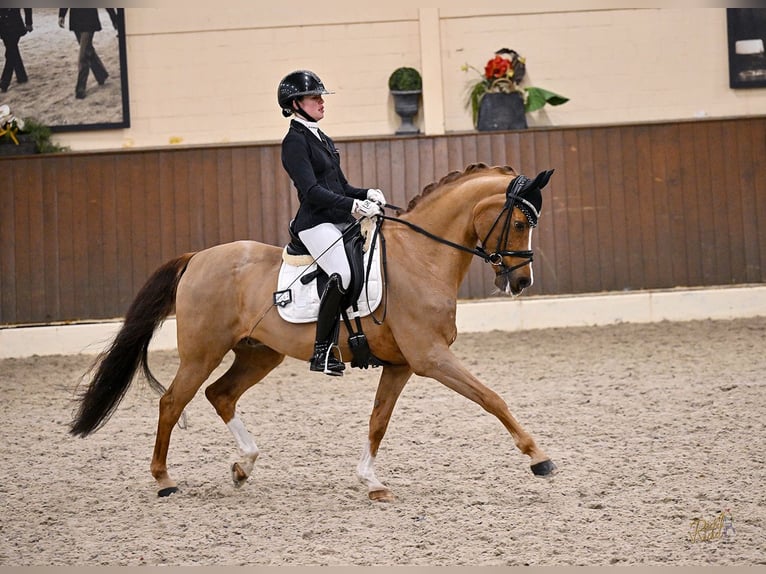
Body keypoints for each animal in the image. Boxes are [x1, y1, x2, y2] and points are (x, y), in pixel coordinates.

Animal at [69, 163, 560, 504]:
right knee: (173, 402)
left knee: (220, 395)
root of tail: (197, 258)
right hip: (201, 352)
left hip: (259, 353)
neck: (422, 257)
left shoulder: (402, 365)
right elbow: (491, 398)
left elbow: (378, 421)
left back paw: (243, 466)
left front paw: (371, 482)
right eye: (520, 223)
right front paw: (539, 458)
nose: (522, 282)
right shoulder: (431, 357)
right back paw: (165, 481)